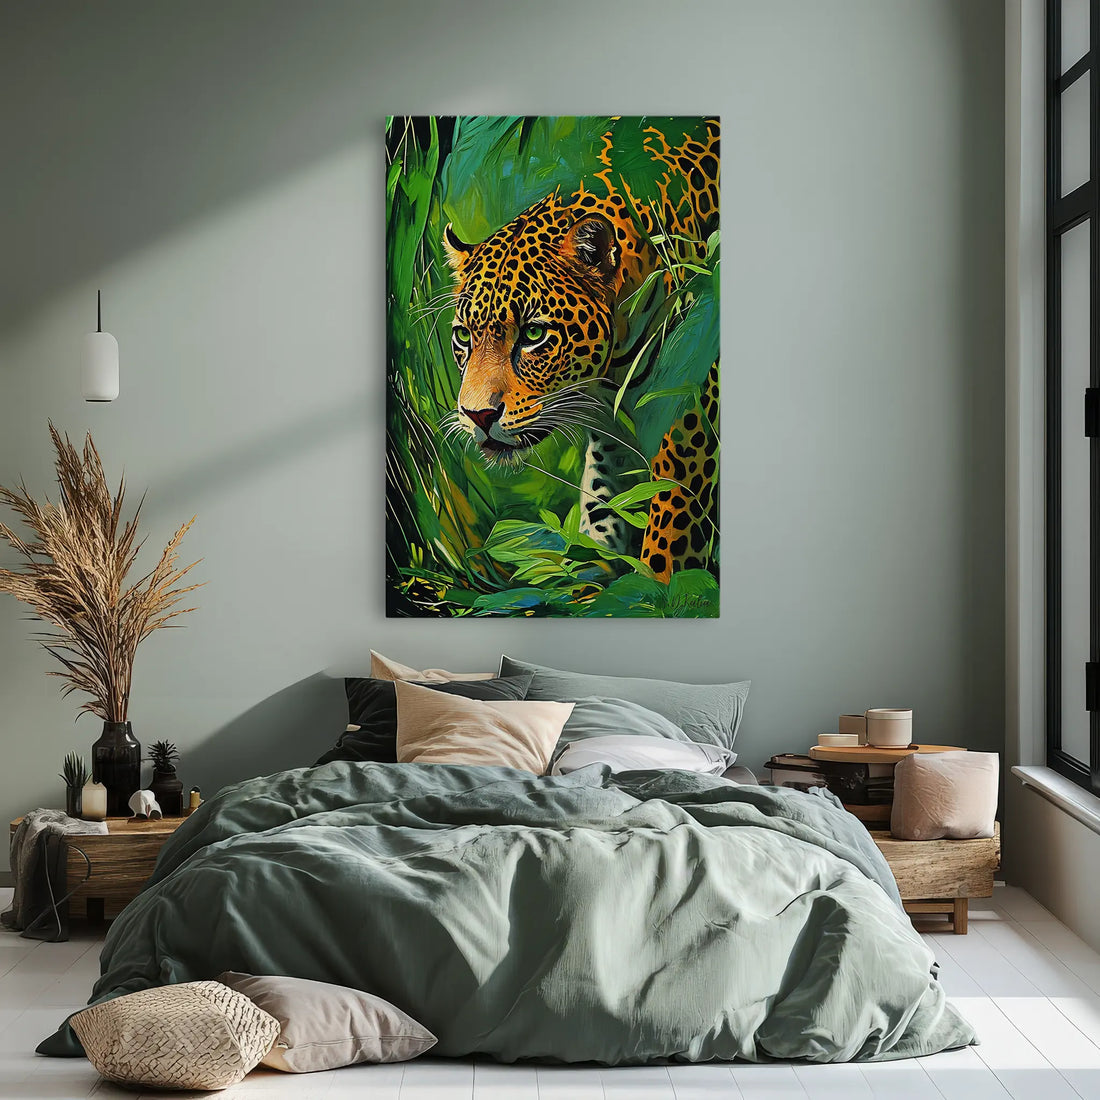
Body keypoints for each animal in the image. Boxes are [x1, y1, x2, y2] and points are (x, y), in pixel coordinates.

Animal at [442, 118, 720, 582]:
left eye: (533, 333)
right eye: (465, 337)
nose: (477, 416)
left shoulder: (689, 423)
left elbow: (667, 553)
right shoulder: (611, 443)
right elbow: (601, 516)